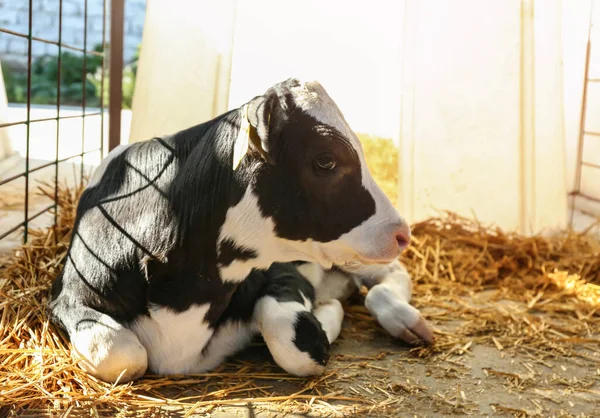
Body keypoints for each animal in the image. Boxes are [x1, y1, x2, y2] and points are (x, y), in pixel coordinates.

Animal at [47, 77, 432, 382]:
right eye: (325, 160)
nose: (402, 232)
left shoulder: (284, 273)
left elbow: (295, 343)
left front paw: (327, 315)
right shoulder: (66, 298)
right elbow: (118, 352)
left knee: (387, 278)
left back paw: (405, 319)